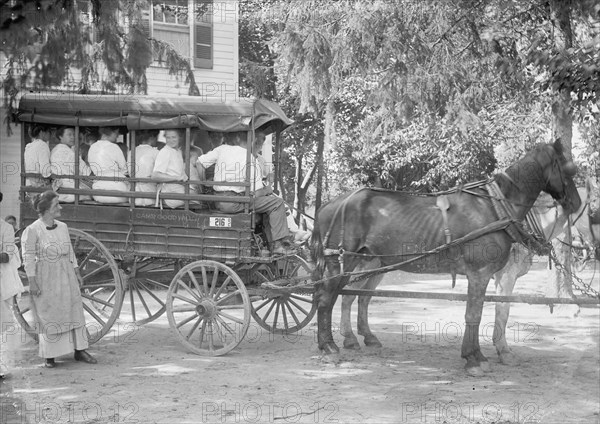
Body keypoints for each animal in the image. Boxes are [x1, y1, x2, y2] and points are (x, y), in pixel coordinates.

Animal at [312, 141, 580, 376]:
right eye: (569, 168)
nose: (575, 202)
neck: (495, 208)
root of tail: (328, 205)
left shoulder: (487, 276)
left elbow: (483, 313)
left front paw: (480, 355)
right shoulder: (480, 273)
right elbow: (474, 315)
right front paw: (473, 359)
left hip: (364, 262)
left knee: (346, 297)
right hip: (341, 262)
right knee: (327, 300)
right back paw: (328, 348)